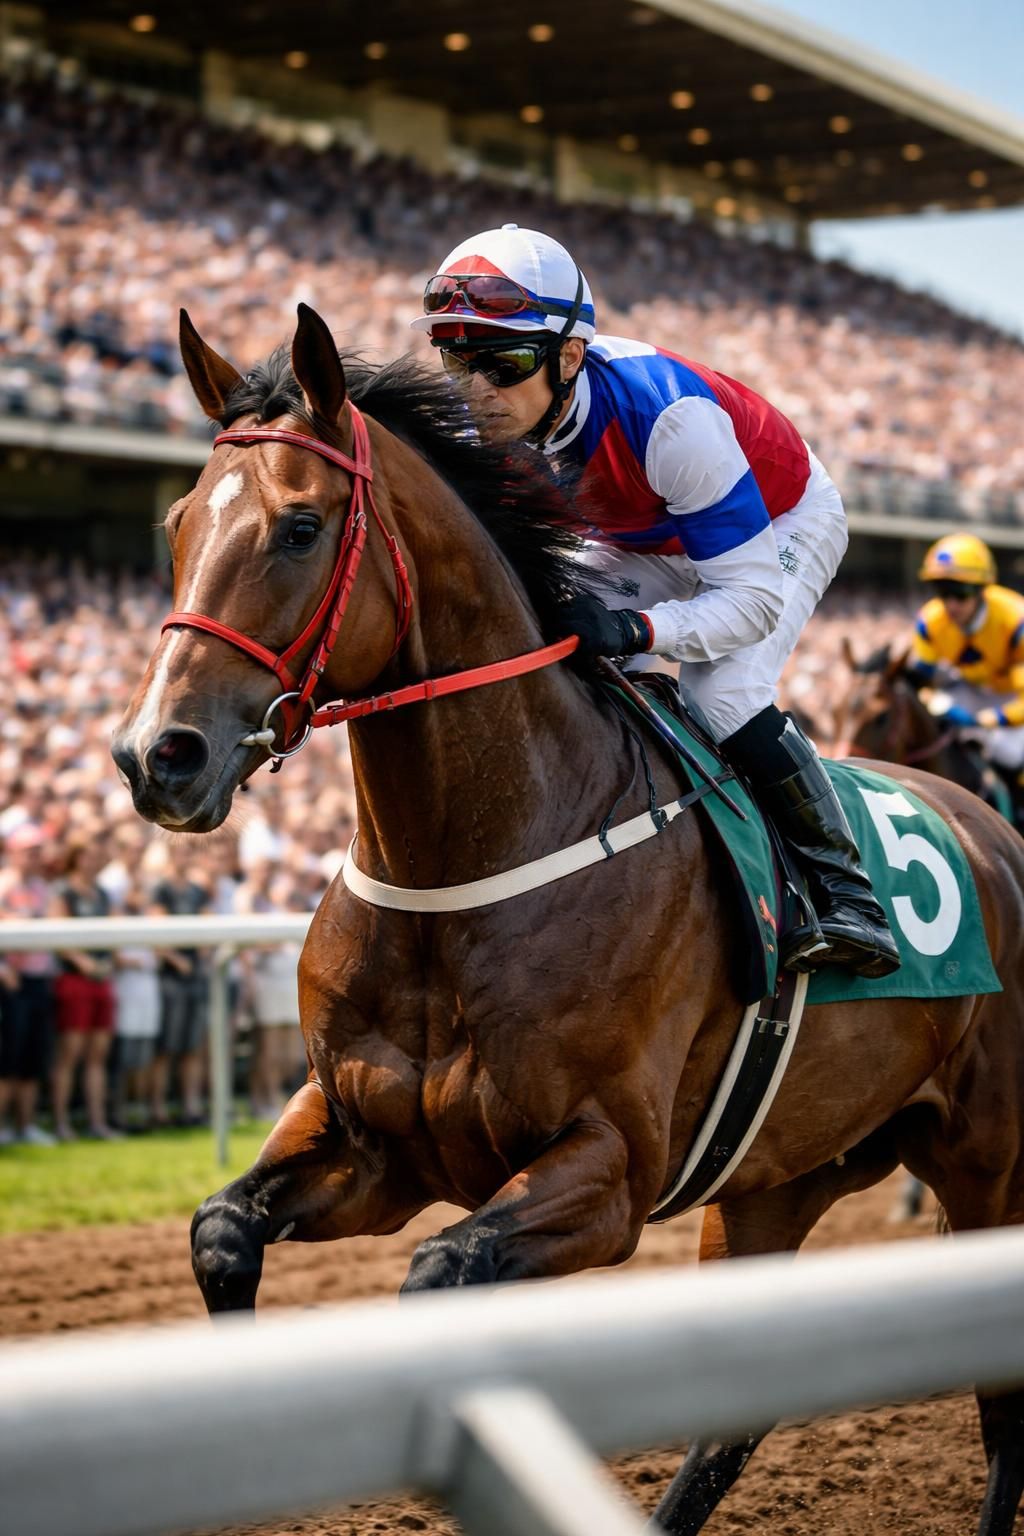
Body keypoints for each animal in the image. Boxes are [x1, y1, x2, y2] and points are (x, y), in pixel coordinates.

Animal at [113, 305, 1024, 1536]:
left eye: (300, 527)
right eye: (176, 524)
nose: (157, 755)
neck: (472, 861)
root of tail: (998, 835)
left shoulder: (613, 1170)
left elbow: (441, 1277)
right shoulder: (372, 1142)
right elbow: (220, 1230)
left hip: (986, 1162)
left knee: (1002, 1407)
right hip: (784, 1174)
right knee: (735, 1418)